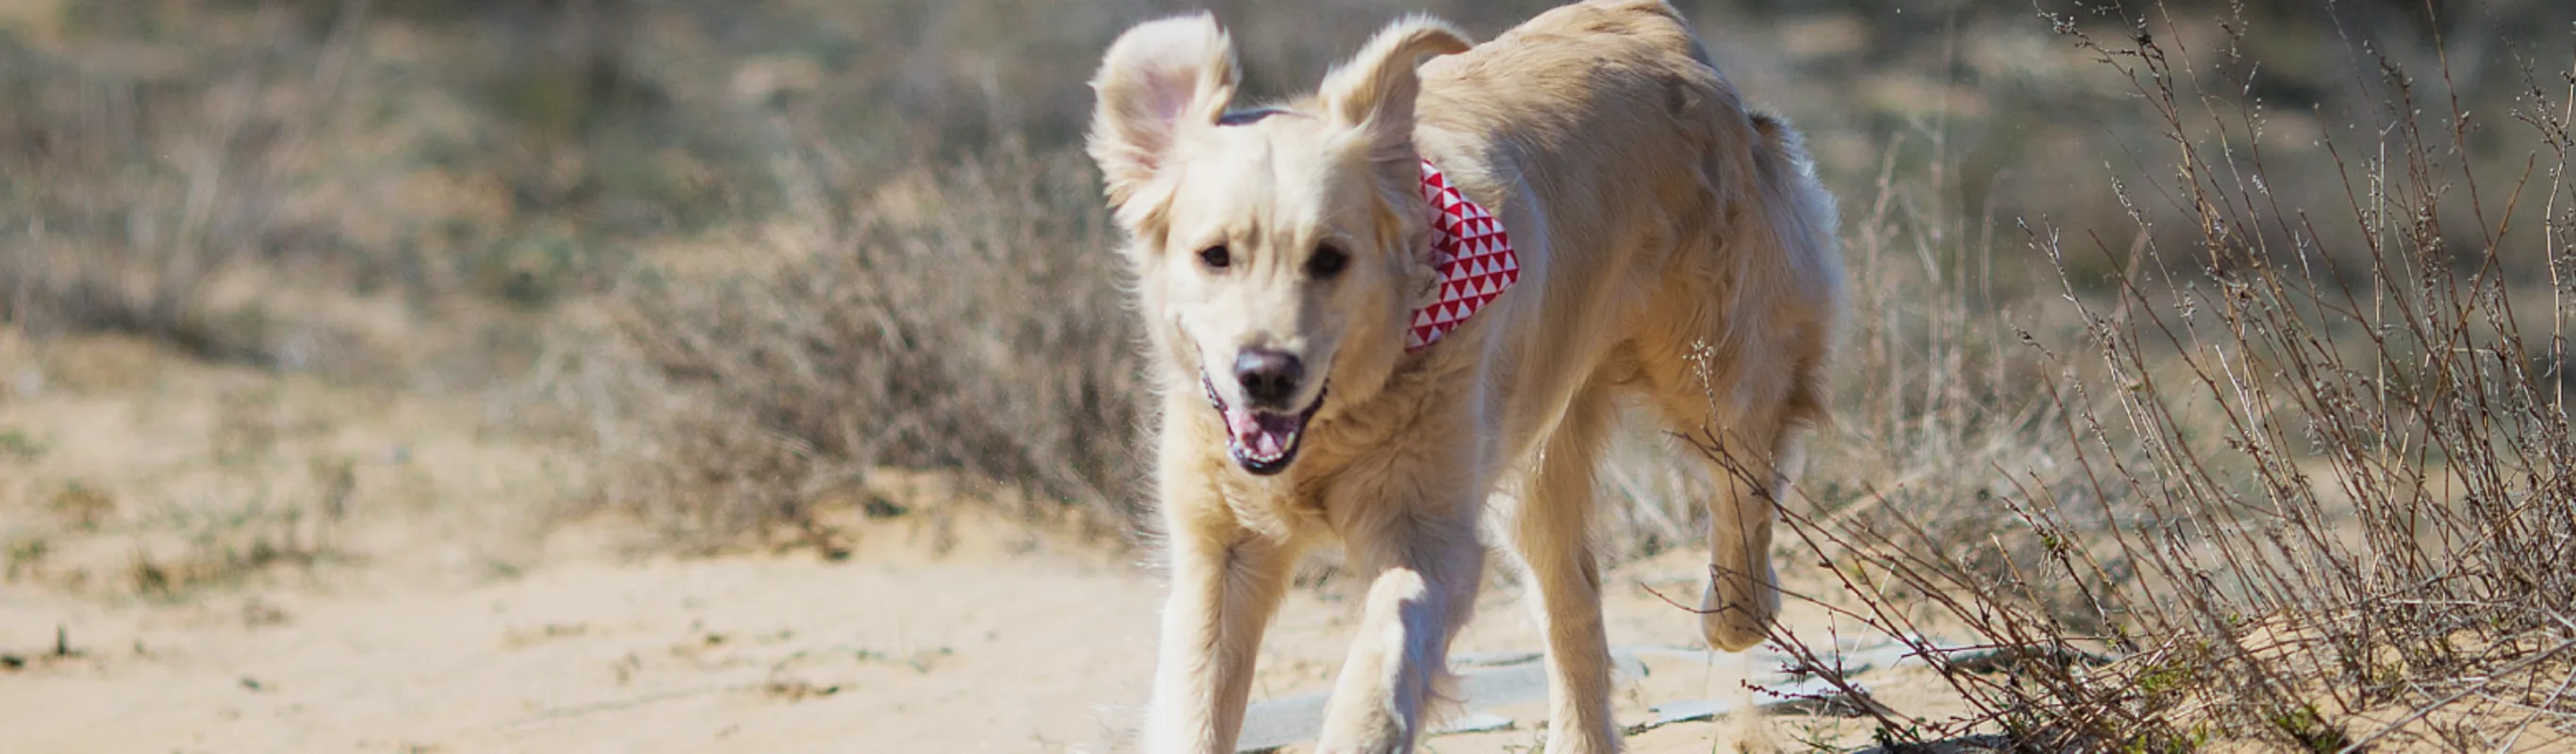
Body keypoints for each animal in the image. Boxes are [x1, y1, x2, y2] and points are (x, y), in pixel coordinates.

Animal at [1086, 3, 1855, 746]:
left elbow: (1387, 639)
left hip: (1717, 372)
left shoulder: (1430, 535)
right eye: (1214, 255)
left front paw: (1363, 730)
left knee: (1743, 489)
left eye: (1330, 258)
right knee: (1574, 598)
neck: (1337, 420)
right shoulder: (1221, 551)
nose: (1265, 375)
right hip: (1538, 454)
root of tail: (1665, 28)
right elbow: (1196, 701)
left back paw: (1737, 613)